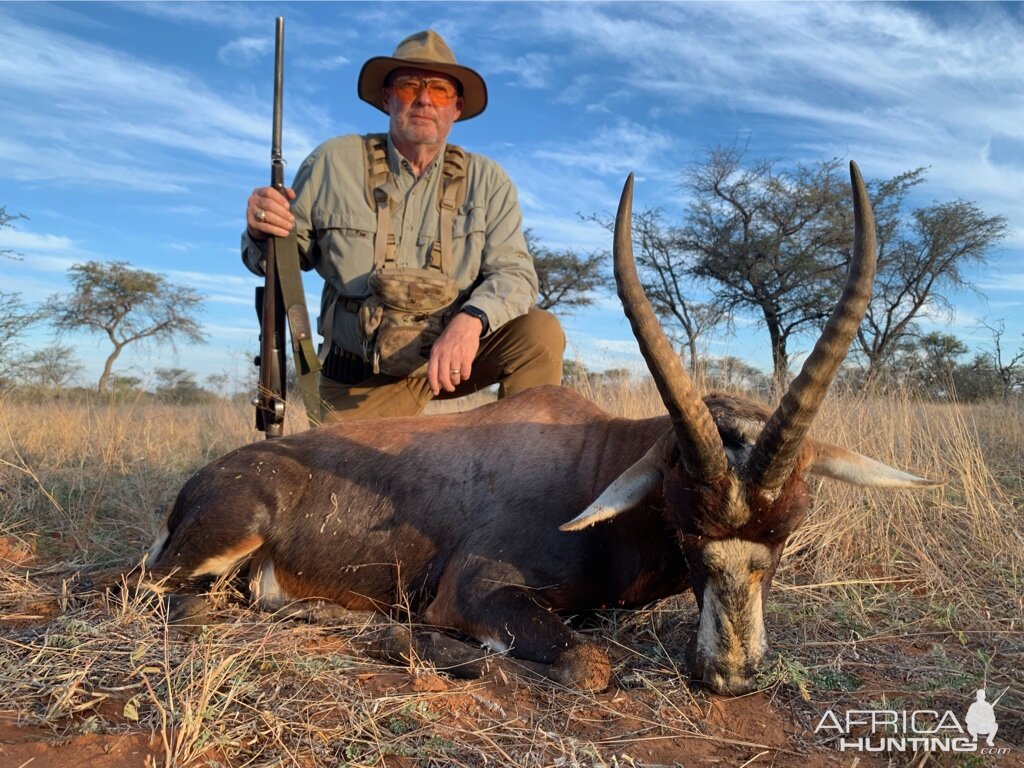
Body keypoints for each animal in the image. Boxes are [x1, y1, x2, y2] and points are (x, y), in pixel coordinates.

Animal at [142, 163, 937, 696]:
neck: (595, 460)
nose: (729, 676)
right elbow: (587, 665)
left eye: (786, 531)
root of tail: (201, 483)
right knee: (166, 600)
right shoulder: (474, 592)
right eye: (684, 526)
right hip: (212, 549)